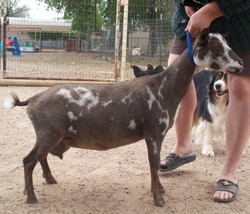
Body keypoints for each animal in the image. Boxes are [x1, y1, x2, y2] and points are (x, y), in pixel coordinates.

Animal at [3, 27, 242, 206]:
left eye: (226, 43)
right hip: (49, 133)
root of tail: (33, 100)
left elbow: (155, 166)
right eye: (214, 46)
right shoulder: (153, 133)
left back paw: (48, 180)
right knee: (28, 160)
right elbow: (153, 165)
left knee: (39, 157)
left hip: (52, 135)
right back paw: (31, 197)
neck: (163, 88)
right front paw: (158, 199)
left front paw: (161, 191)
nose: (240, 64)